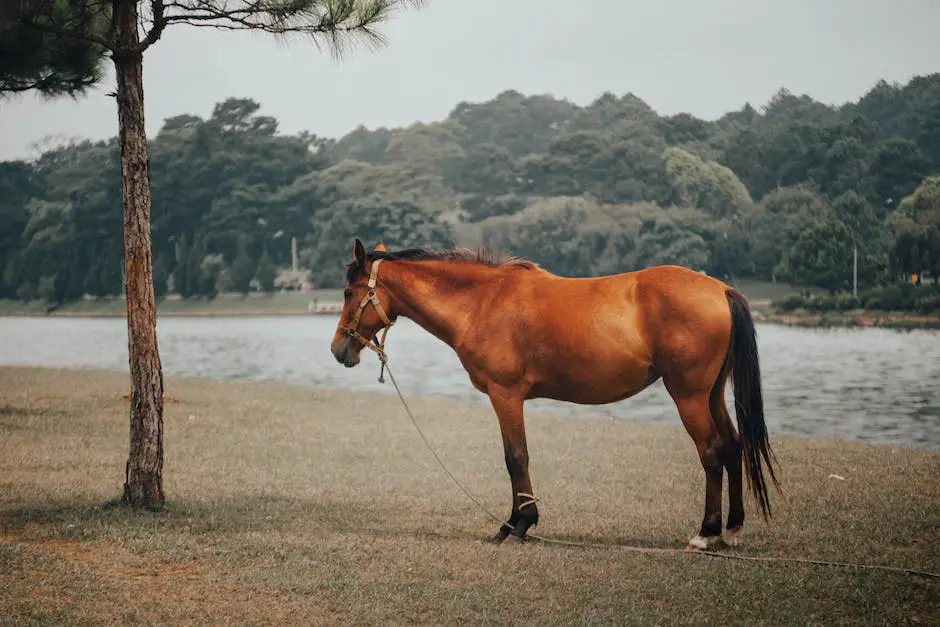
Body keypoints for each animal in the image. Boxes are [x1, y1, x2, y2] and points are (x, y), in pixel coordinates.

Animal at [330, 239, 780, 548]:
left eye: (349, 293)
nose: (339, 349)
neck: (483, 301)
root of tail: (720, 290)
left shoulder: (505, 395)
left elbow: (515, 457)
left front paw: (518, 525)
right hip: (712, 394)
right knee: (732, 445)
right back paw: (732, 529)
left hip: (688, 396)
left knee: (711, 452)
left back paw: (705, 532)